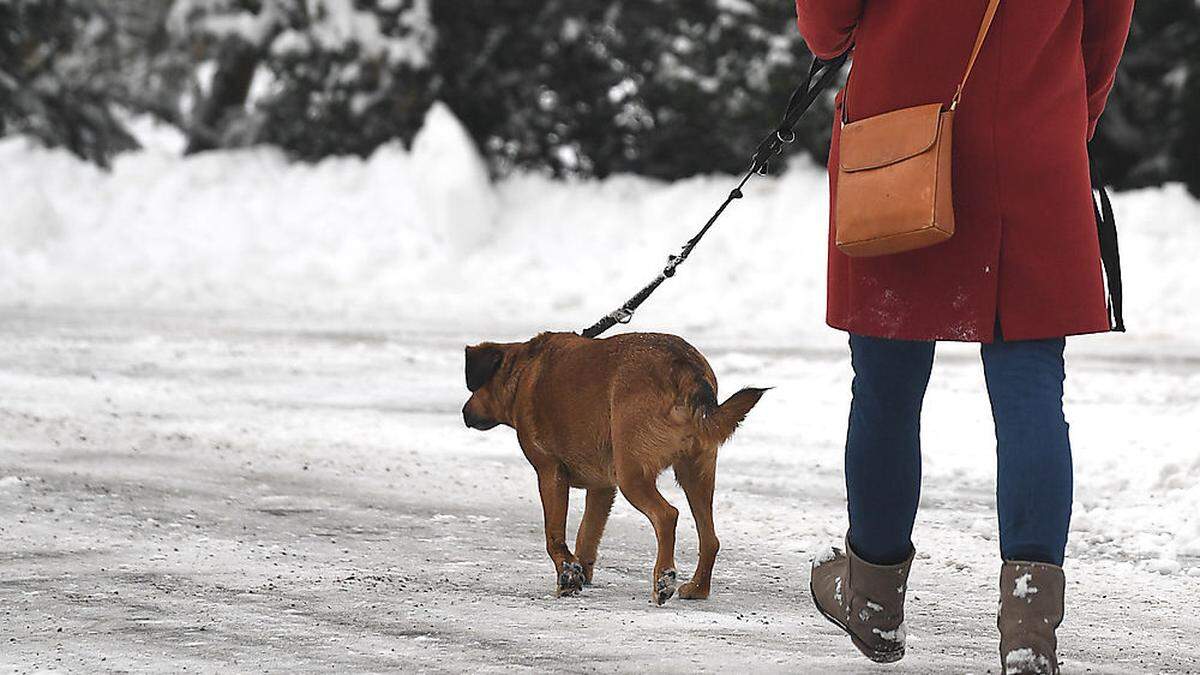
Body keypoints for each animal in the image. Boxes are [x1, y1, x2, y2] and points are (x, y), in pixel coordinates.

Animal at [463, 329, 763, 600]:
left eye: (475, 387)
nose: (464, 412)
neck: (522, 370)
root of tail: (685, 368)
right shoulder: (603, 488)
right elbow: (587, 533)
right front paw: (579, 573)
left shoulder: (550, 472)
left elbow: (554, 535)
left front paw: (567, 574)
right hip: (696, 472)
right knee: (710, 539)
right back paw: (698, 589)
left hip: (633, 474)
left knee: (667, 515)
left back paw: (664, 580)